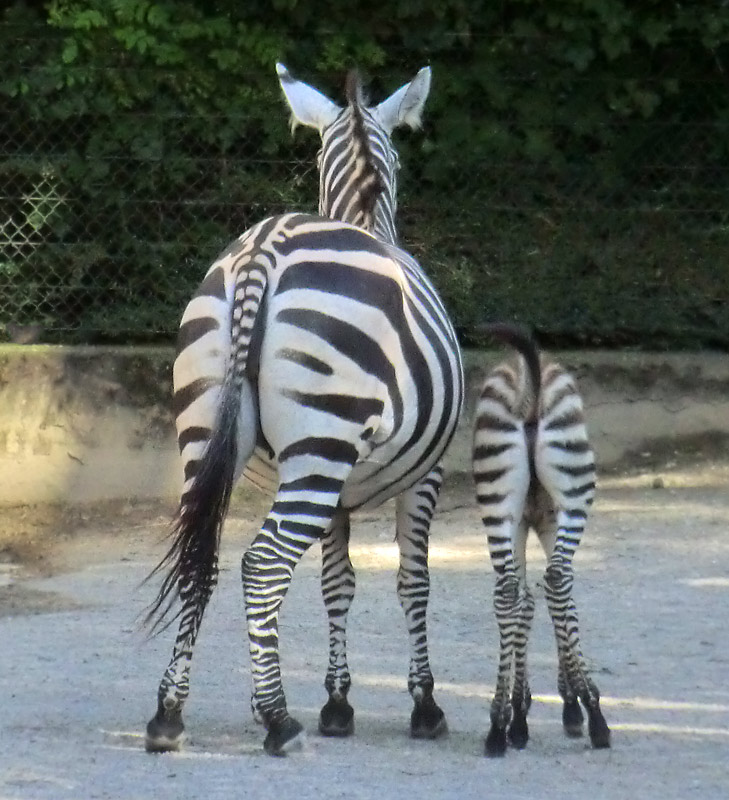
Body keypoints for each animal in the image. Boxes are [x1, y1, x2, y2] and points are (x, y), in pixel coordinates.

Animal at [143, 65, 464, 752]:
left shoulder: (339, 493)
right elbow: (413, 580)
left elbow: (336, 582)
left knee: (200, 560)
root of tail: (264, 248)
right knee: (262, 565)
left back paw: (169, 714)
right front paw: (424, 704)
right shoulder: (427, 475)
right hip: (320, 448)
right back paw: (278, 719)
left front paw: (338, 702)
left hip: (209, 436)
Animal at [472, 324, 608, 756]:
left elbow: (527, 603)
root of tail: (529, 385)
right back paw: (598, 718)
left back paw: (497, 726)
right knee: (558, 579)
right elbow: (559, 600)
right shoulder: (548, 521)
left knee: (508, 592)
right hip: (573, 498)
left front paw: (519, 714)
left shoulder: (522, 522)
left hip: (497, 504)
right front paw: (573, 703)